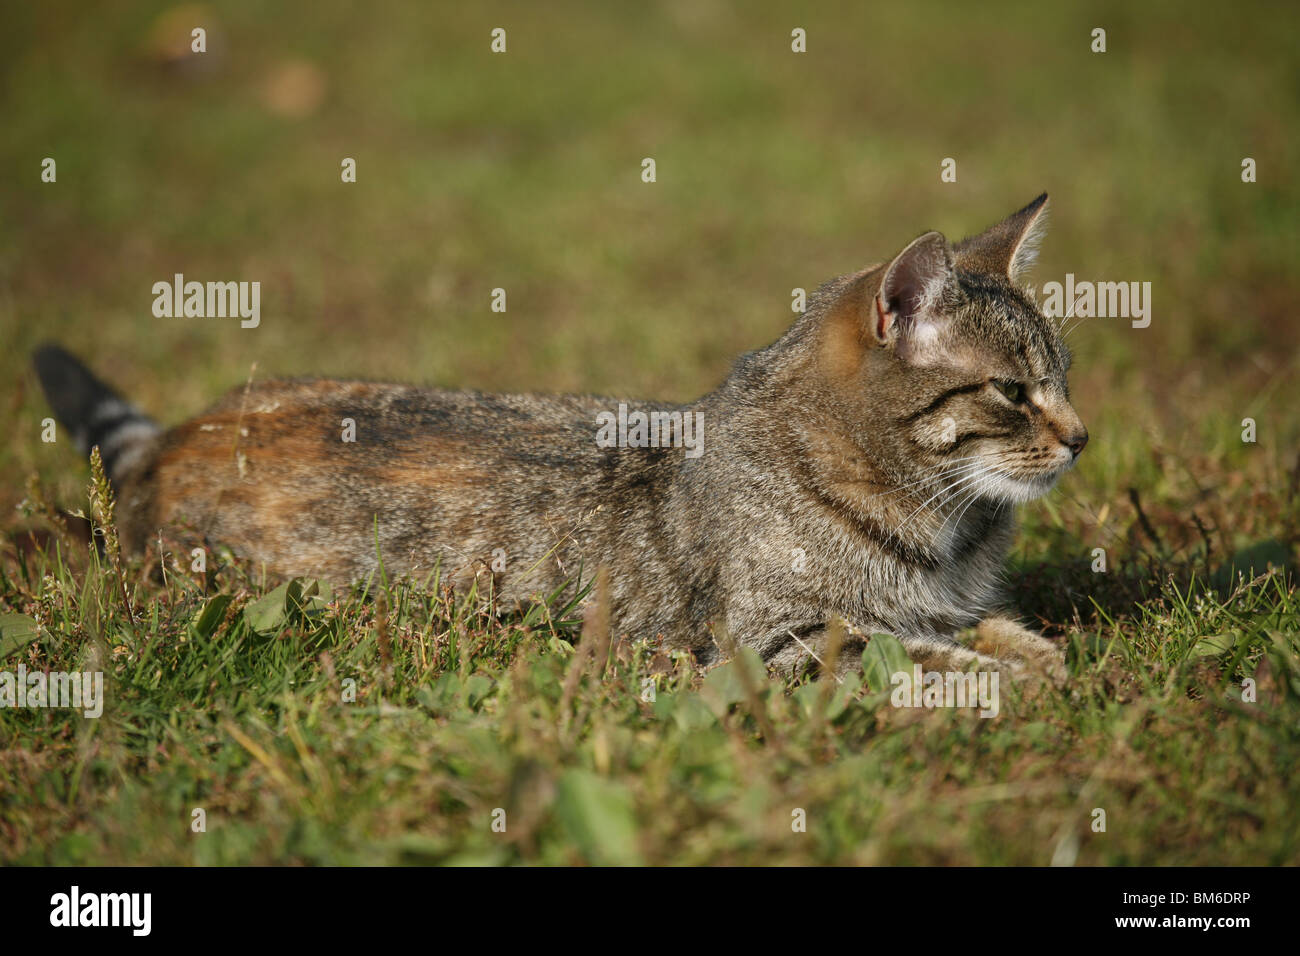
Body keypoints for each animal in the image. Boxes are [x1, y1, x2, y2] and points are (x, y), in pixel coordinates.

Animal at [32, 191, 1086, 676]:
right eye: (1012, 390)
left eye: (1063, 375)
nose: (1081, 437)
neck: (947, 529)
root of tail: (176, 435)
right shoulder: (774, 638)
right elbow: (914, 655)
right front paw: (1020, 680)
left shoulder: (929, 605)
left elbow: (981, 630)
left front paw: (1035, 653)